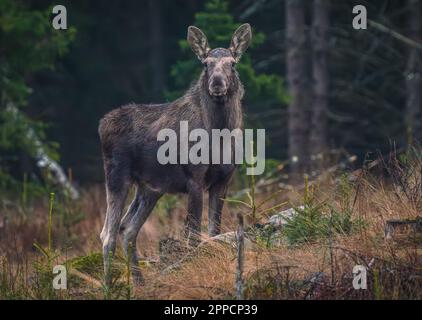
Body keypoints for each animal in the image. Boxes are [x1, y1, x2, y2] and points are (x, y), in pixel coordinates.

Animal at [97, 25, 252, 284]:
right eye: (206, 64)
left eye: (232, 63)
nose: (217, 84)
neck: (219, 134)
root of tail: (101, 125)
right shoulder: (194, 178)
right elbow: (193, 234)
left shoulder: (224, 180)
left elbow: (214, 230)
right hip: (117, 176)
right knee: (107, 234)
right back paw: (109, 285)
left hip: (149, 188)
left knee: (127, 228)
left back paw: (139, 282)